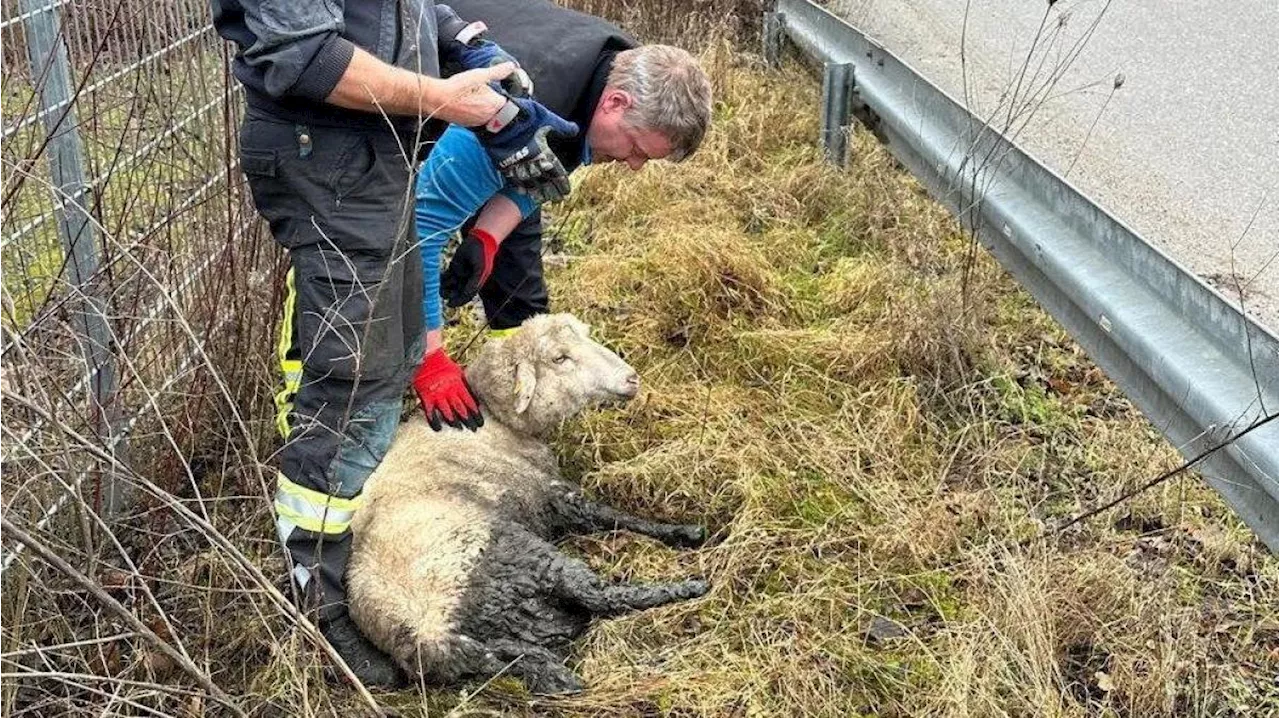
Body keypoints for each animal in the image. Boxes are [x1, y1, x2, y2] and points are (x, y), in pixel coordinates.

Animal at [348, 312, 711, 691]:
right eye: (559, 358)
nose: (631, 379)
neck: (496, 420)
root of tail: (429, 635)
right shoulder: (552, 494)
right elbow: (609, 514)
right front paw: (682, 531)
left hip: (499, 637)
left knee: (524, 652)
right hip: (517, 556)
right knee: (599, 596)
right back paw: (690, 586)